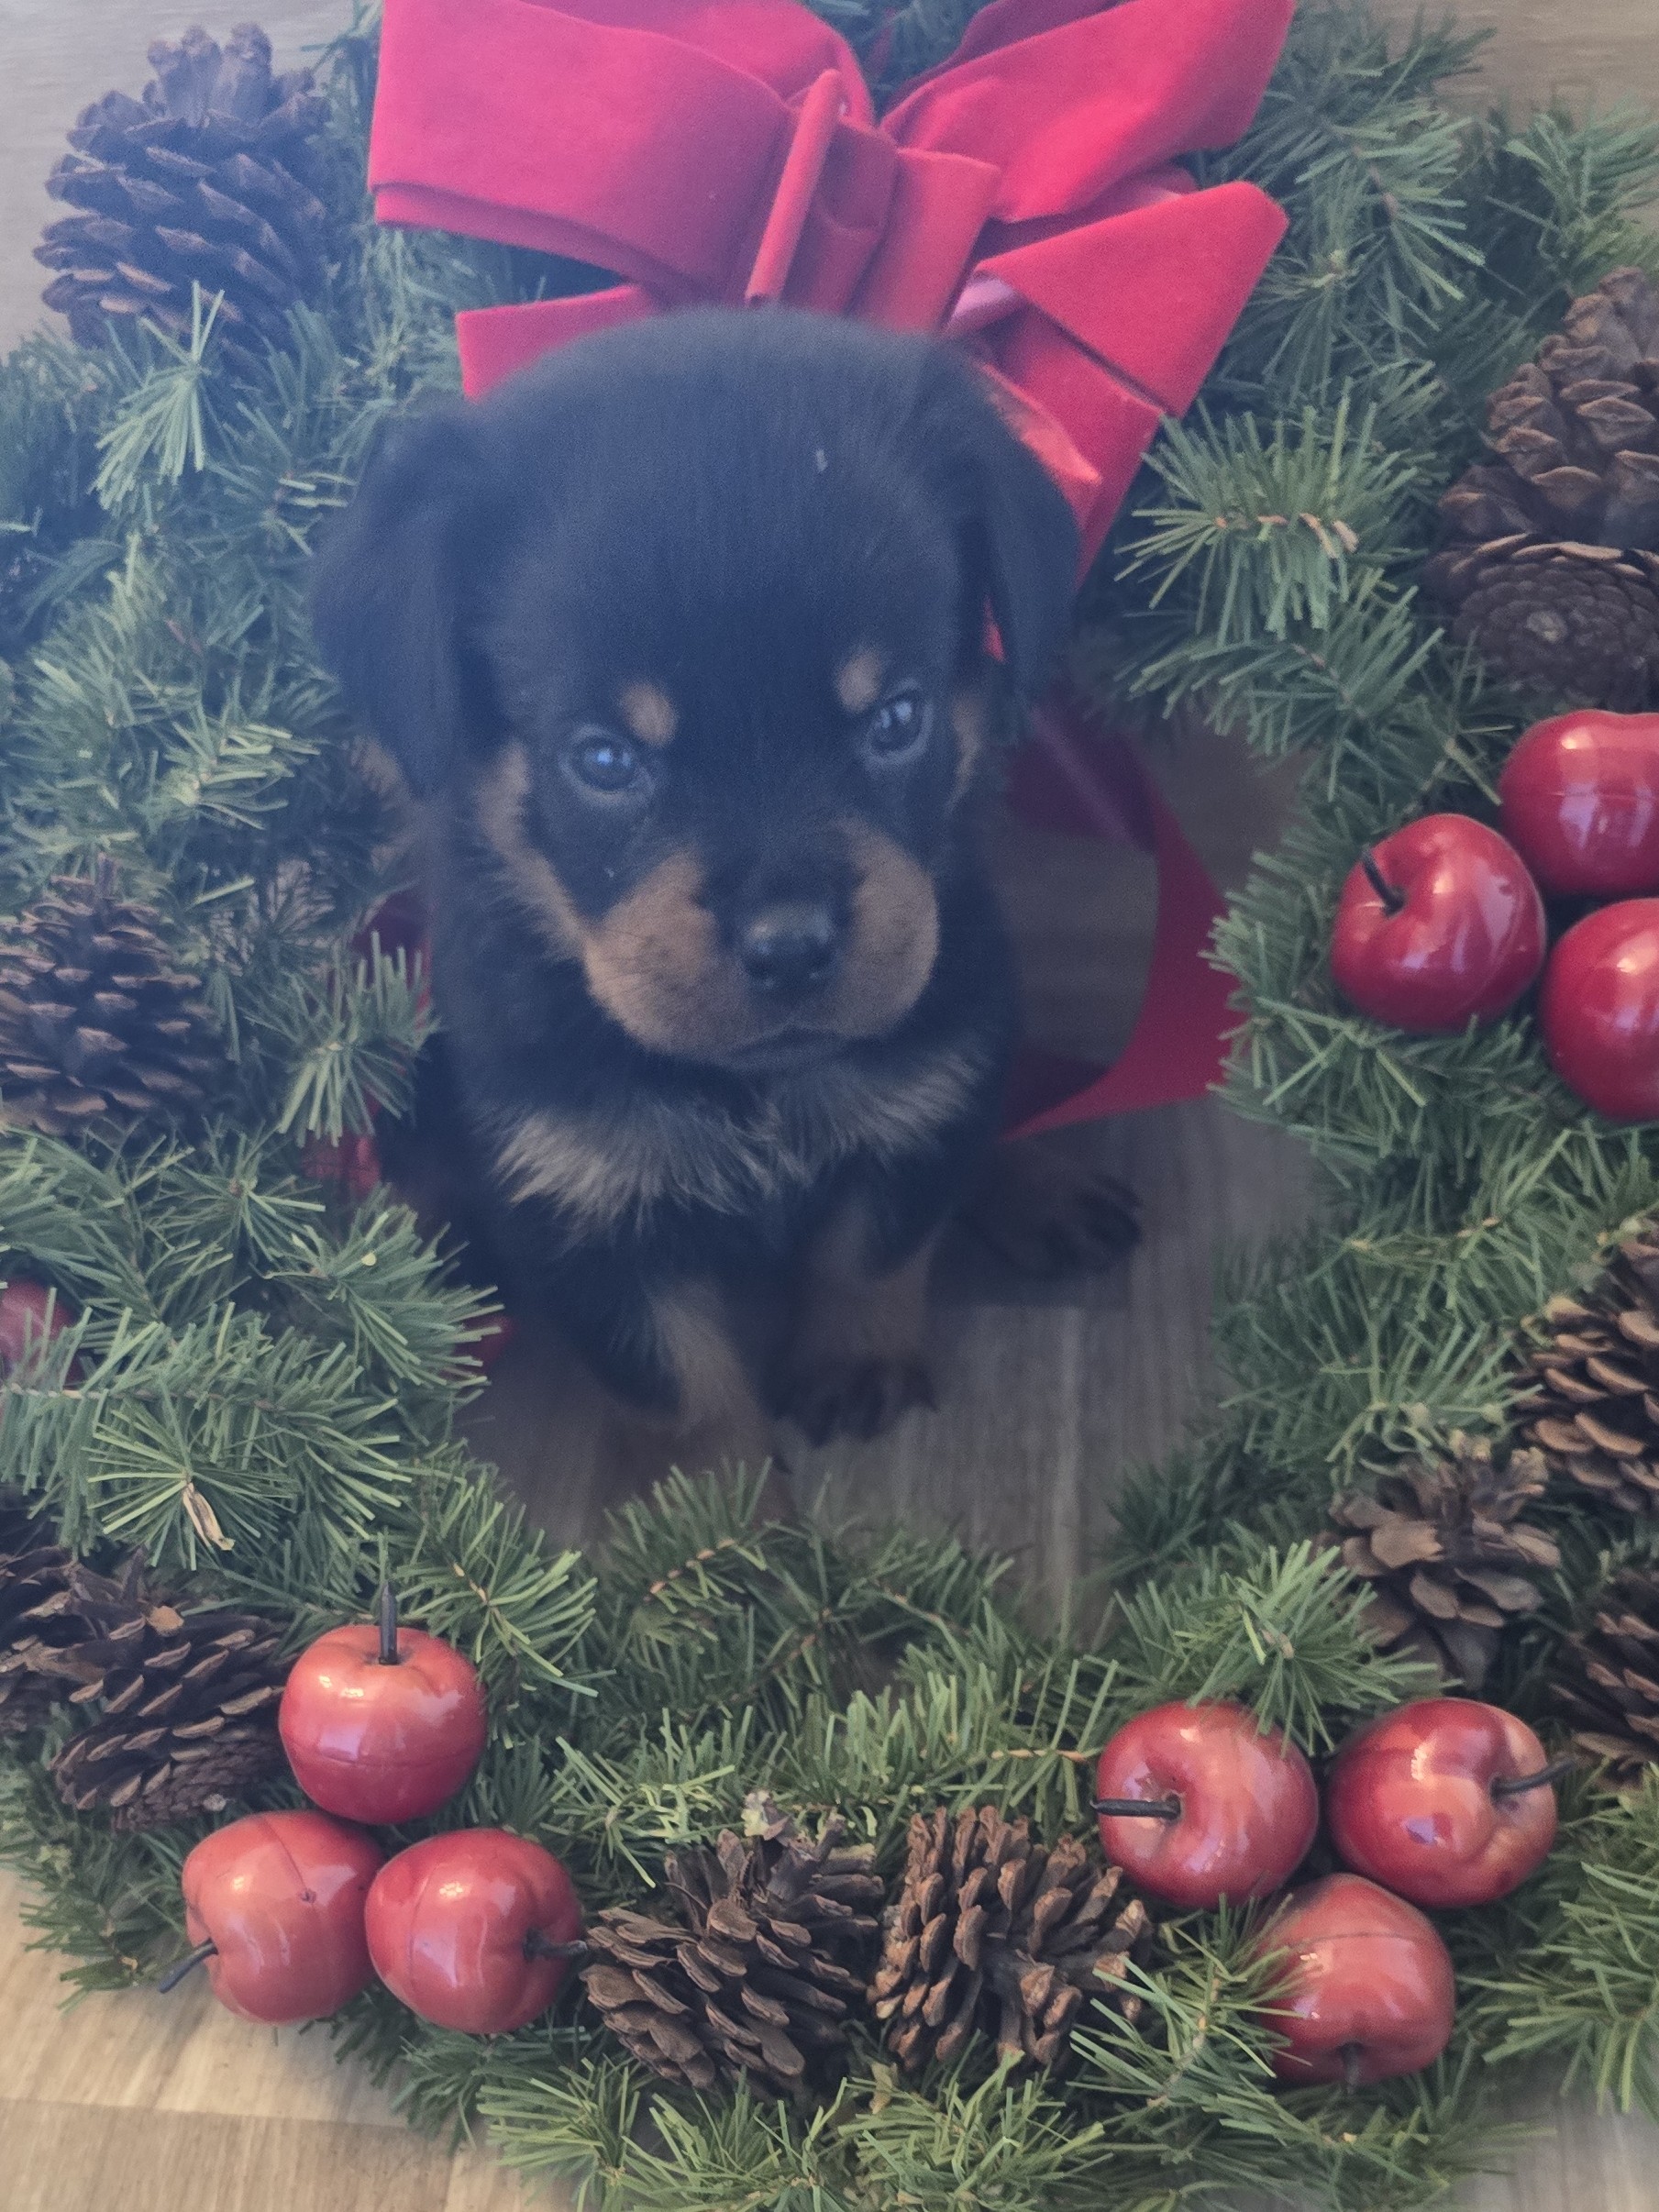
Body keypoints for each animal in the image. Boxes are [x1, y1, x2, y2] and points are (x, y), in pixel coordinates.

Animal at [314, 303, 1079, 1459]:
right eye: (603, 758)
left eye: (899, 717)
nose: (792, 944)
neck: (749, 1090)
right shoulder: (573, 1197)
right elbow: (684, 1393)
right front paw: (726, 1505)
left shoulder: (939, 1064)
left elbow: (876, 1240)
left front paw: (854, 1362)